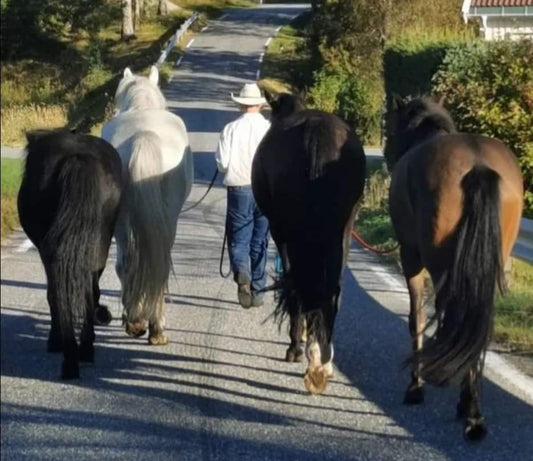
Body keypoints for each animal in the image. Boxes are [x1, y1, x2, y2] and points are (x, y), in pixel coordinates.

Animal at [17, 128, 122, 378]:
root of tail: (78, 156)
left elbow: (52, 294)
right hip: (99, 245)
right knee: (89, 290)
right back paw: (85, 349)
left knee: (61, 292)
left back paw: (70, 357)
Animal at [101, 66, 192, 344]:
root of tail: (144, 136)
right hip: (166, 218)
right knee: (153, 265)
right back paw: (153, 326)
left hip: (123, 219)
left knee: (127, 264)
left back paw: (138, 322)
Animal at [252, 92, 366, 392]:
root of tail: (318, 133)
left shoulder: (280, 233)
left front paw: (298, 342)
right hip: (342, 232)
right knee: (332, 292)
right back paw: (322, 362)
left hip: (289, 232)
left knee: (298, 286)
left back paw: (303, 352)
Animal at [384, 95, 520, 440]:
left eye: (390, 127)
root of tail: (478, 164)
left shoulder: (411, 257)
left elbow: (417, 319)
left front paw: (416, 386)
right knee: (477, 322)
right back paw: (472, 410)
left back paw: (468, 408)